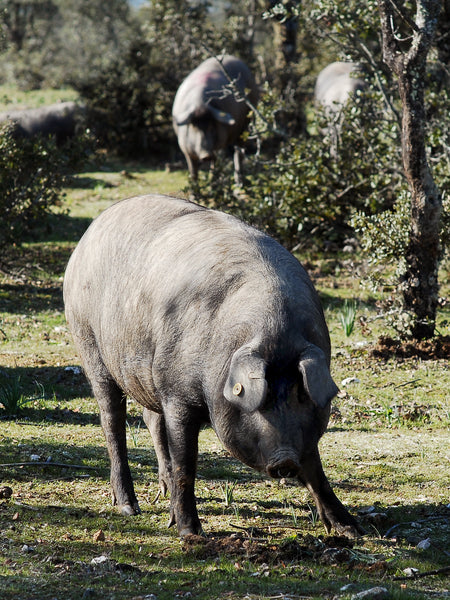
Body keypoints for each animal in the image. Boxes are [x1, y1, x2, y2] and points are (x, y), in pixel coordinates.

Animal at [63, 193, 360, 540]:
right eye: (260, 400)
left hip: (147, 373)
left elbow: (315, 466)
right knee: (112, 422)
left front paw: (351, 530)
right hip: (90, 346)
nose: (285, 459)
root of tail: (92, 229)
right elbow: (186, 461)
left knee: (152, 421)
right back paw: (129, 507)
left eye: (301, 394)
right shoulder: (178, 394)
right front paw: (191, 533)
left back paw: (163, 493)